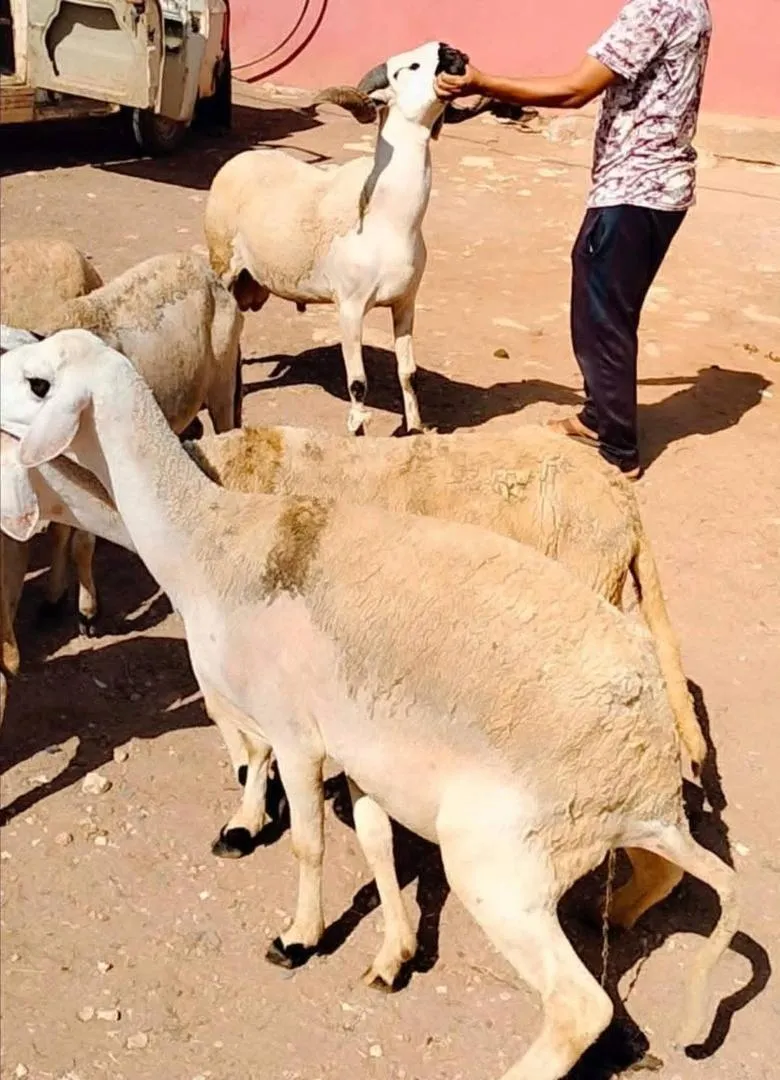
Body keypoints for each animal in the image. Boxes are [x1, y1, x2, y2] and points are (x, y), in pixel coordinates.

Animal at [1, 329, 739, 1079]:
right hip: (587, 829)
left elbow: (303, 834)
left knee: (578, 1006)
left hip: (499, 860)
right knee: (652, 884)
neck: (215, 535)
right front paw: (394, 952)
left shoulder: (295, 731)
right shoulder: (362, 746)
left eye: (39, 384)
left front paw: (297, 929)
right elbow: (374, 840)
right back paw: (616, 913)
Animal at [203, 41, 470, 437]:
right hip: (222, 265)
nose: (453, 52)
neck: (387, 219)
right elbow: (358, 386)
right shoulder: (350, 308)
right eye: (409, 67)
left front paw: (415, 430)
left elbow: (409, 374)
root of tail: (237, 160)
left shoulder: (406, 302)